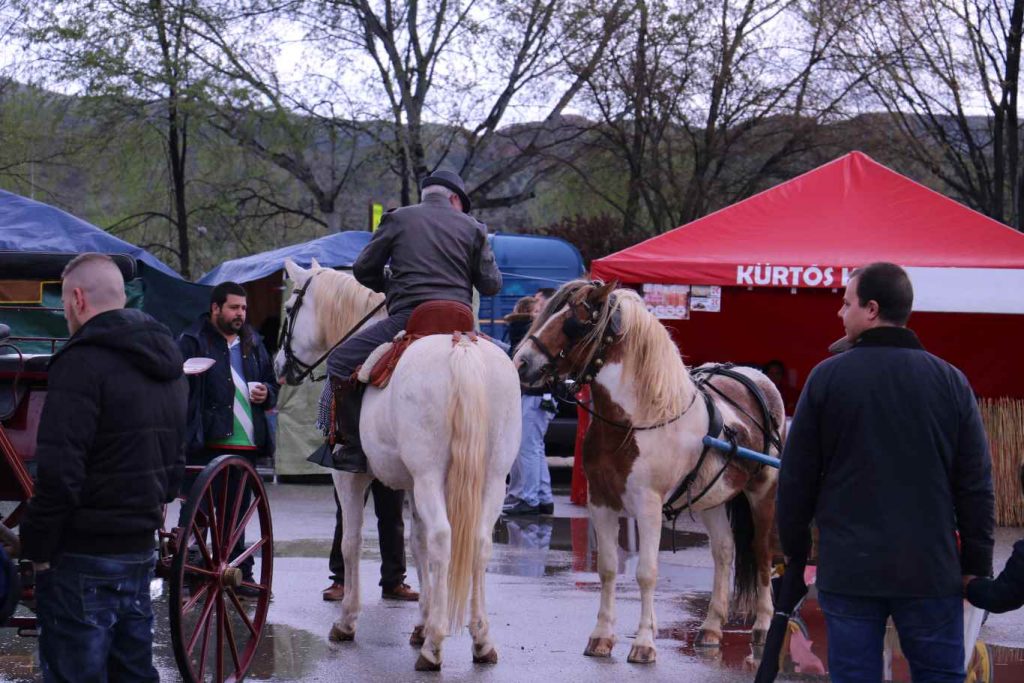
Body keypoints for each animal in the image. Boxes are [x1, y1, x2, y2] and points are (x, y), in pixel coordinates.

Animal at [274, 259, 520, 671]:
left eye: (291, 308)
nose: (279, 366)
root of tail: (460, 347)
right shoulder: (412, 487)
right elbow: (417, 546)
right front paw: (421, 623)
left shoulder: (350, 478)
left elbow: (352, 541)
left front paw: (347, 621)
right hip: (491, 480)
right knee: (478, 543)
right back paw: (481, 641)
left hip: (431, 477)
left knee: (442, 539)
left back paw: (434, 648)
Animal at [512, 280, 782, 663]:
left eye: (575, 322)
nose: (522, 362)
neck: (636, 420)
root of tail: (758, 378)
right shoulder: (601, 502)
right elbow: (608, 568)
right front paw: (602, 637)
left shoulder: (648, 506)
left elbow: (646, 573)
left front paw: (643, 643)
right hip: (712, 499)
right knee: (724, 551)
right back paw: (711, 628)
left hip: (762, 490)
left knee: (761, 552)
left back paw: (762, 625)